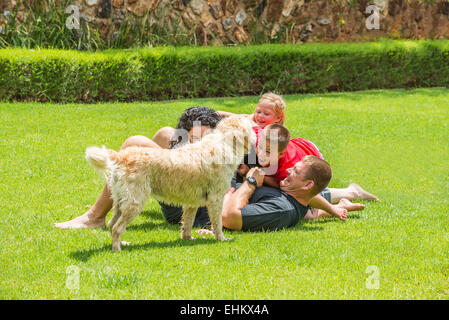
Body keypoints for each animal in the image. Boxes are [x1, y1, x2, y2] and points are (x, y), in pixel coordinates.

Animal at [84, 116, 256, 251]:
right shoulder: (216, 199)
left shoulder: (192, 203)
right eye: (249, 125)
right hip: (135, 202)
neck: (224, 142)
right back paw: (117, 250)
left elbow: (187, 223)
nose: (256, 129)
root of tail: (122, 156)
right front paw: (221, 239)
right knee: (117, 228)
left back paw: (122, 243)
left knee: (112, 224)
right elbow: (218, 223)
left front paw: (187, 238)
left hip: (121, 202)